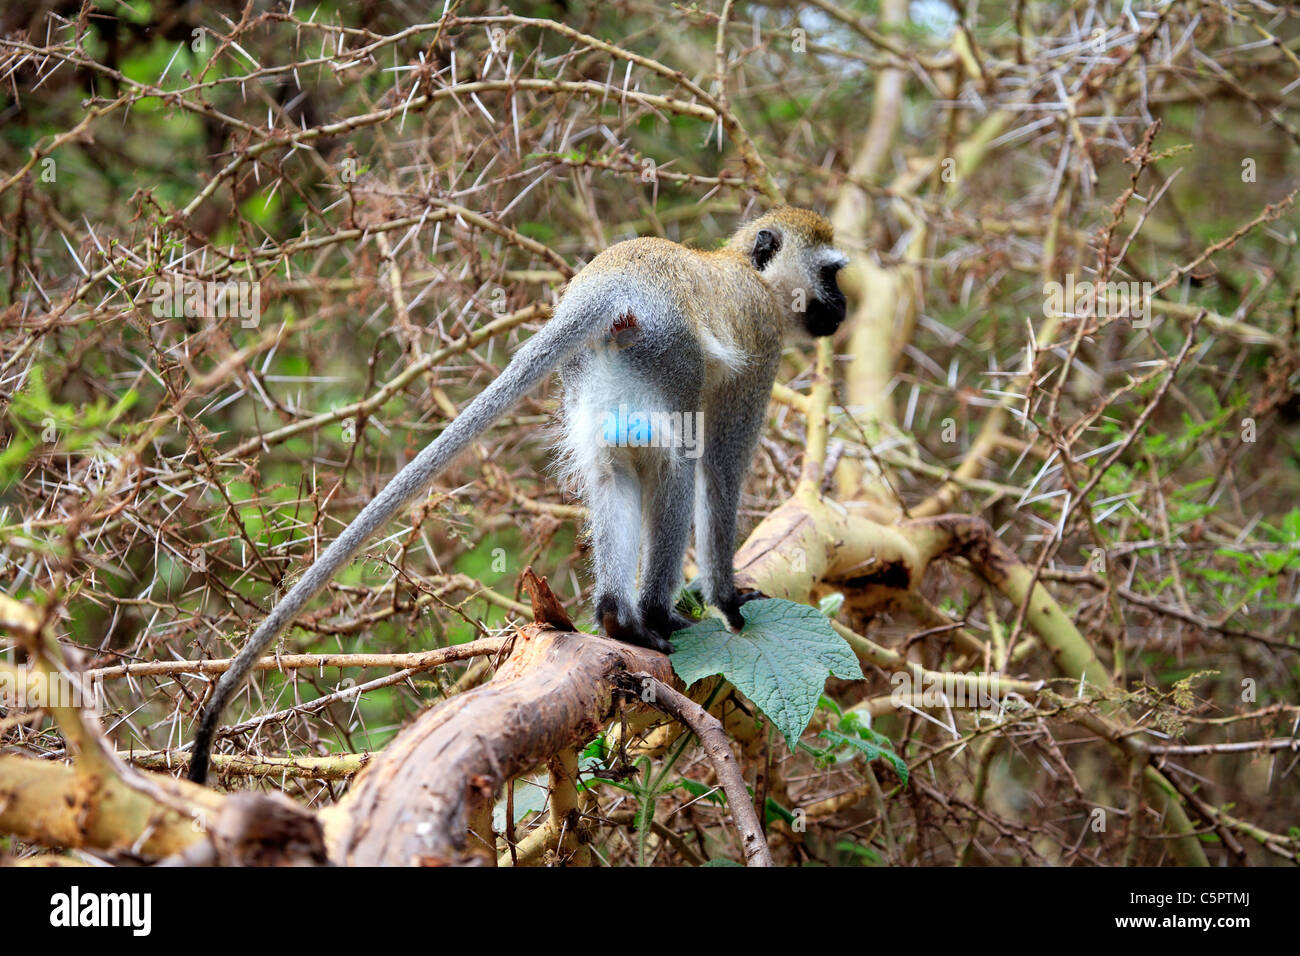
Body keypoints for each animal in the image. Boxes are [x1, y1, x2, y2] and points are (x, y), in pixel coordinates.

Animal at [186, 206, 848, 784]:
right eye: (831, 273)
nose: (843, 308)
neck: (742, 267)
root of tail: (610, 286)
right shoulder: (760, 342)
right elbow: (722, 470)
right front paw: (728, 602)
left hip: (595, 383)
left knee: (611, 476)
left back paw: (617, 618)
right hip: (669, 358)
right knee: (677, 469)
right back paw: (654, 617)